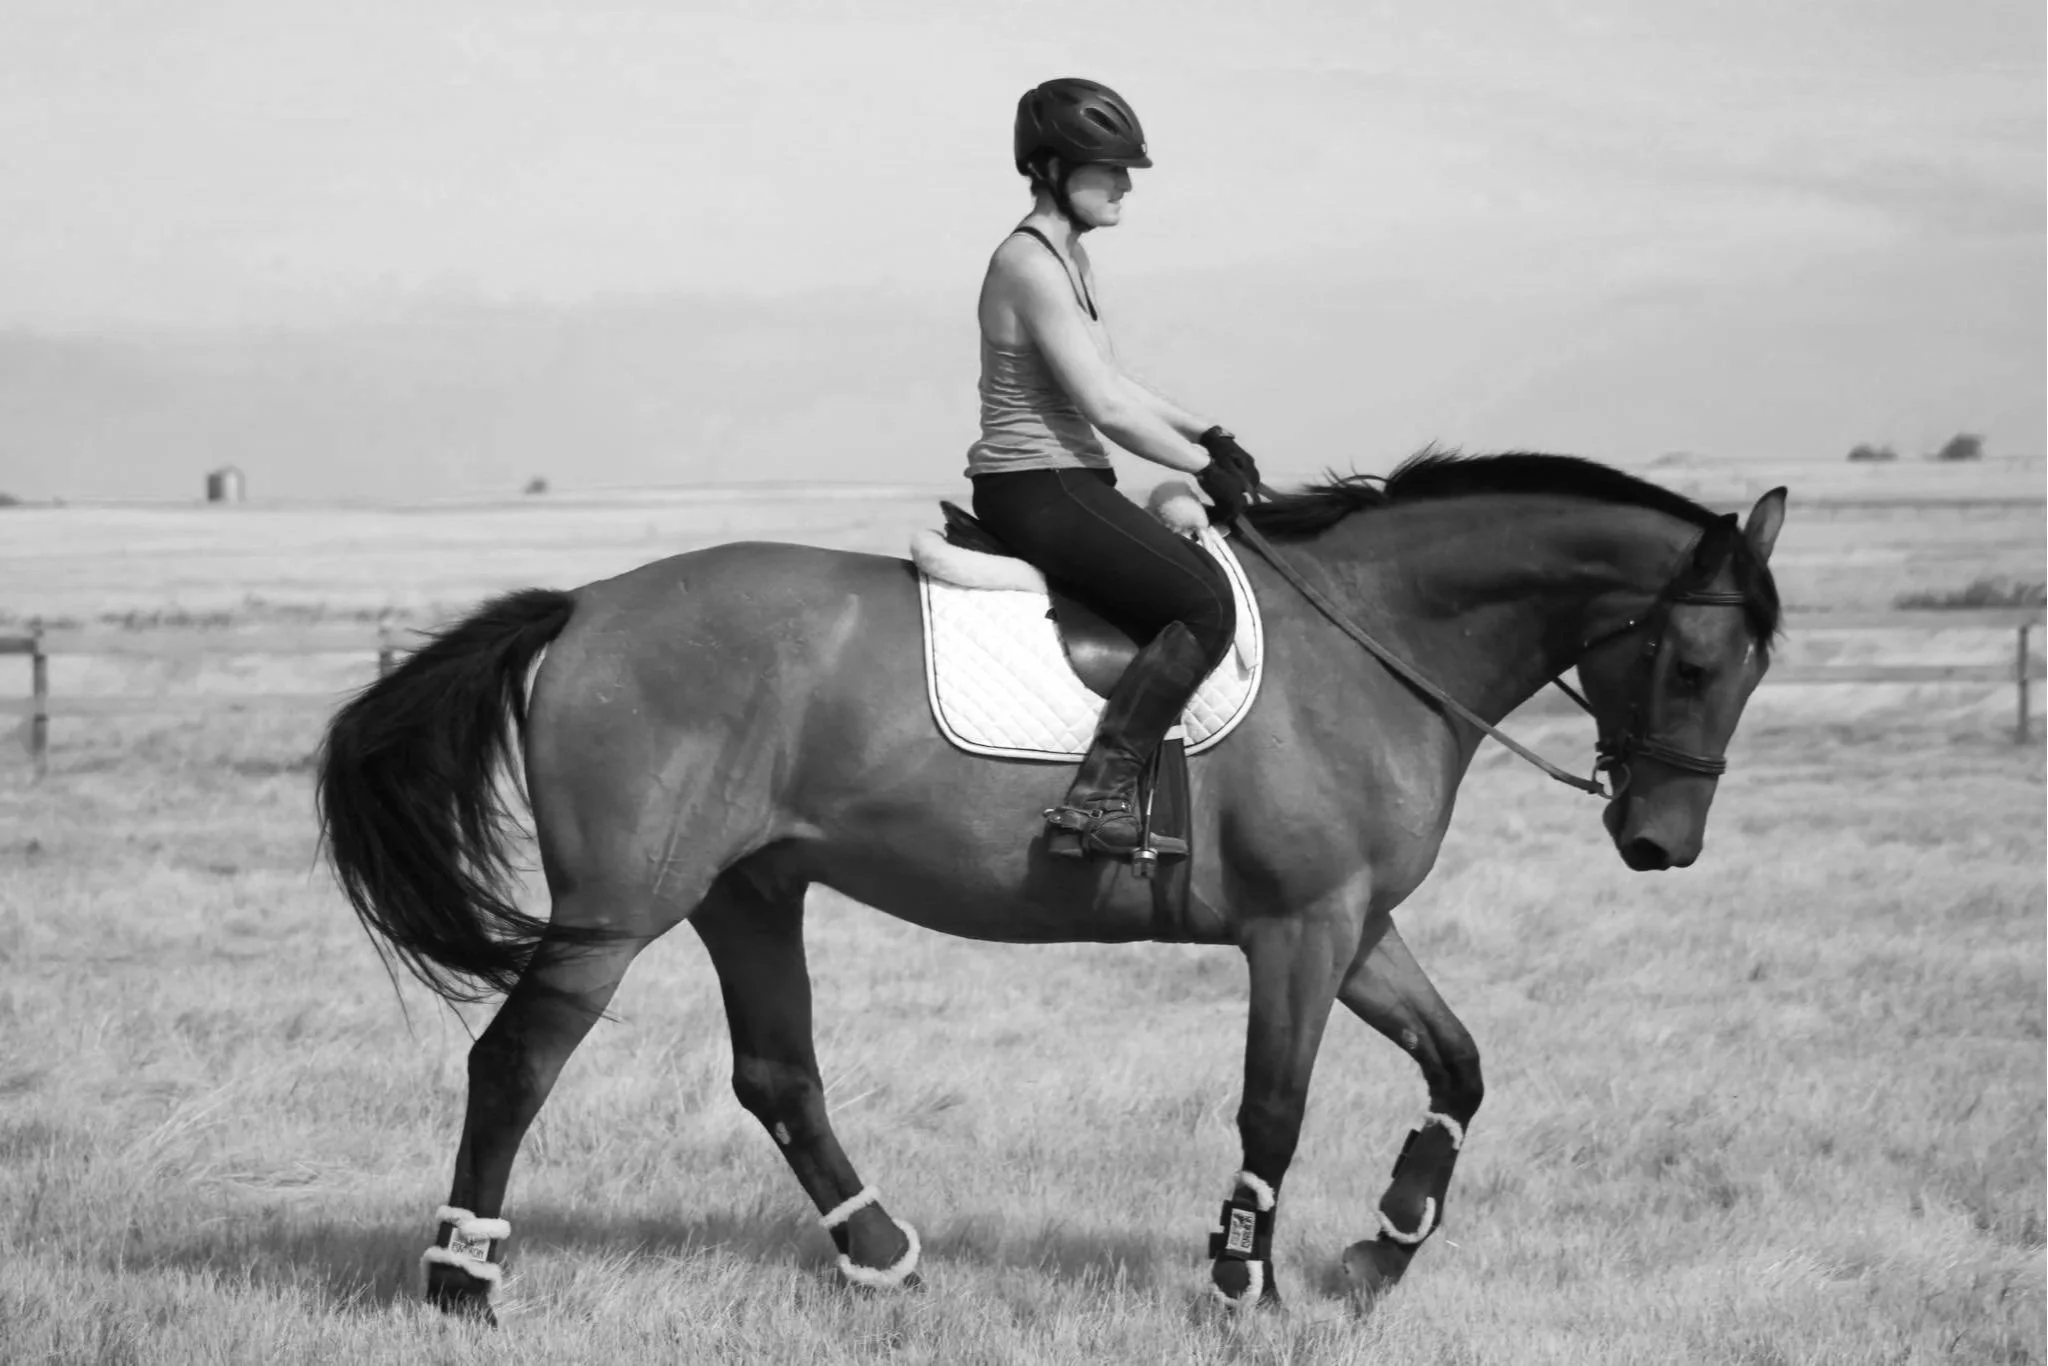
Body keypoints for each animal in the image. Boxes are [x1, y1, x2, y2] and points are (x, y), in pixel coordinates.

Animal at [314, 451, 1787, 1319]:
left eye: (1751, 669)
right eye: (1695, 664)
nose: (1661, 843)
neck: (1372, 642)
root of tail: (584, 609)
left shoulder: (1358, 925)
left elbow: (1460, 1067)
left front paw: (1380, 1250)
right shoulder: (1299, 931)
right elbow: (1273, 1107)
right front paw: (1241, 1281)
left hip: (752, 890)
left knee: (778, 1074)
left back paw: (883, 1259)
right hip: (622, 910)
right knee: (516, 1061)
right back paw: (460, 1280)